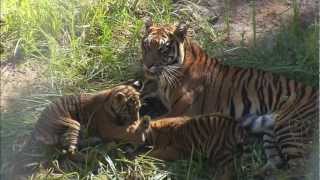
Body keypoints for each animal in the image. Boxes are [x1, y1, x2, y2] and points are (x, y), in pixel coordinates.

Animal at [140, 17, 318, 178]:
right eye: (146, 45)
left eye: (163, 49)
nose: (147, 65)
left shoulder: (180, 110)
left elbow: (154, 122)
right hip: (270, 132)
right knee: (277, 162)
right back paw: (254, 173)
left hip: (289, 127)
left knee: (299, 166)